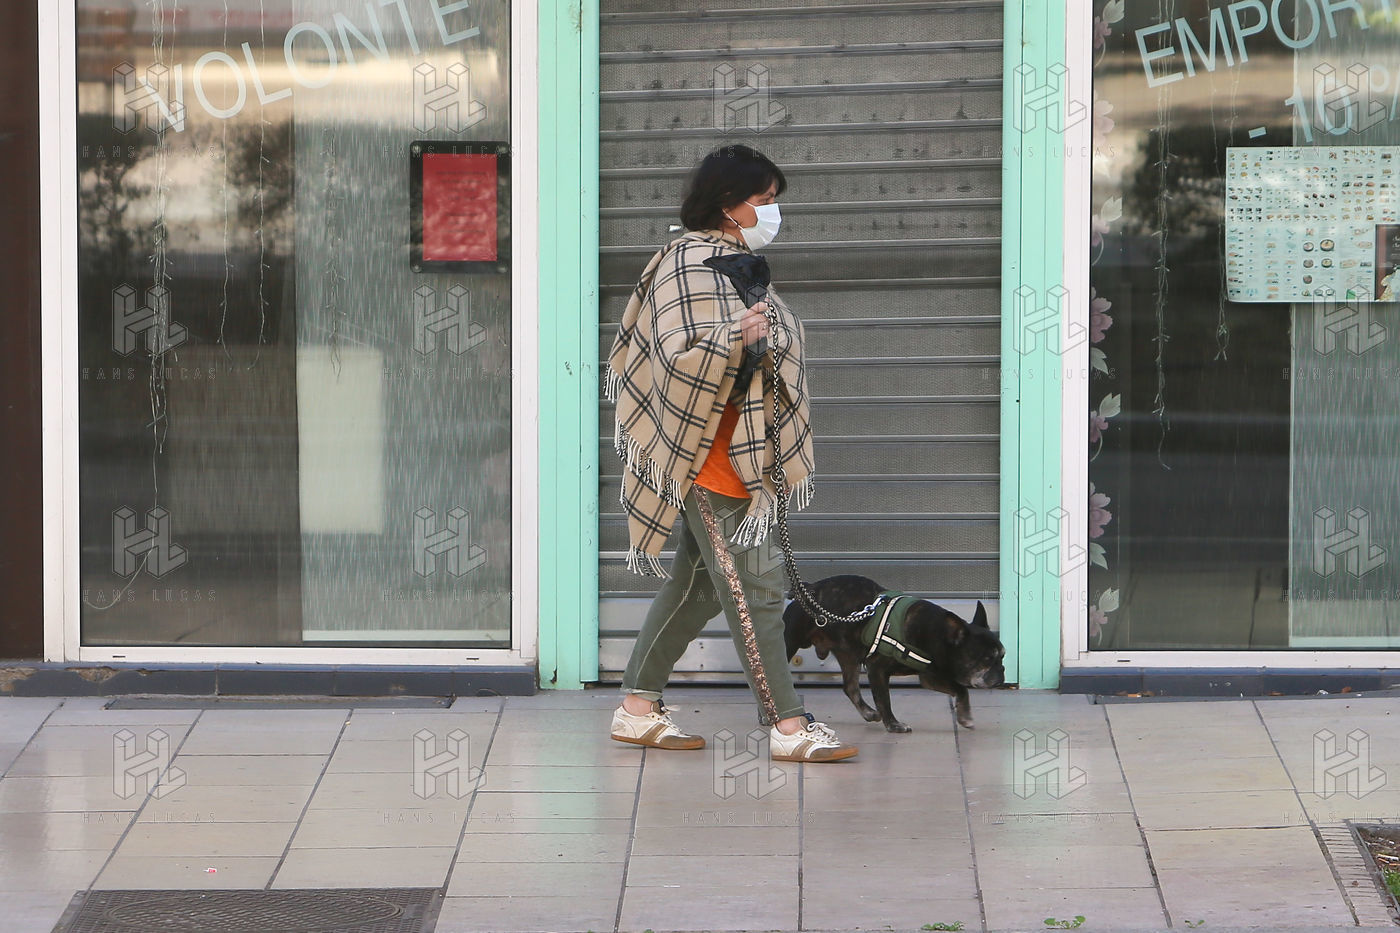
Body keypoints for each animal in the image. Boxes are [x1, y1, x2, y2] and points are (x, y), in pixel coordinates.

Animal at [783, 574, 1005, 732]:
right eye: (986, 659)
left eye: (1002, 656)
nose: (1002, 672)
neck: (937, 632)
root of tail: (808, 589)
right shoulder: (877, 670)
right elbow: (884, 699)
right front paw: (893, 725)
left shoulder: (930, 676)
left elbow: (960, 689)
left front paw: (964, 716)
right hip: (789, 643)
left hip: (848, 656)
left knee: (850, 687)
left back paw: (868, 713)